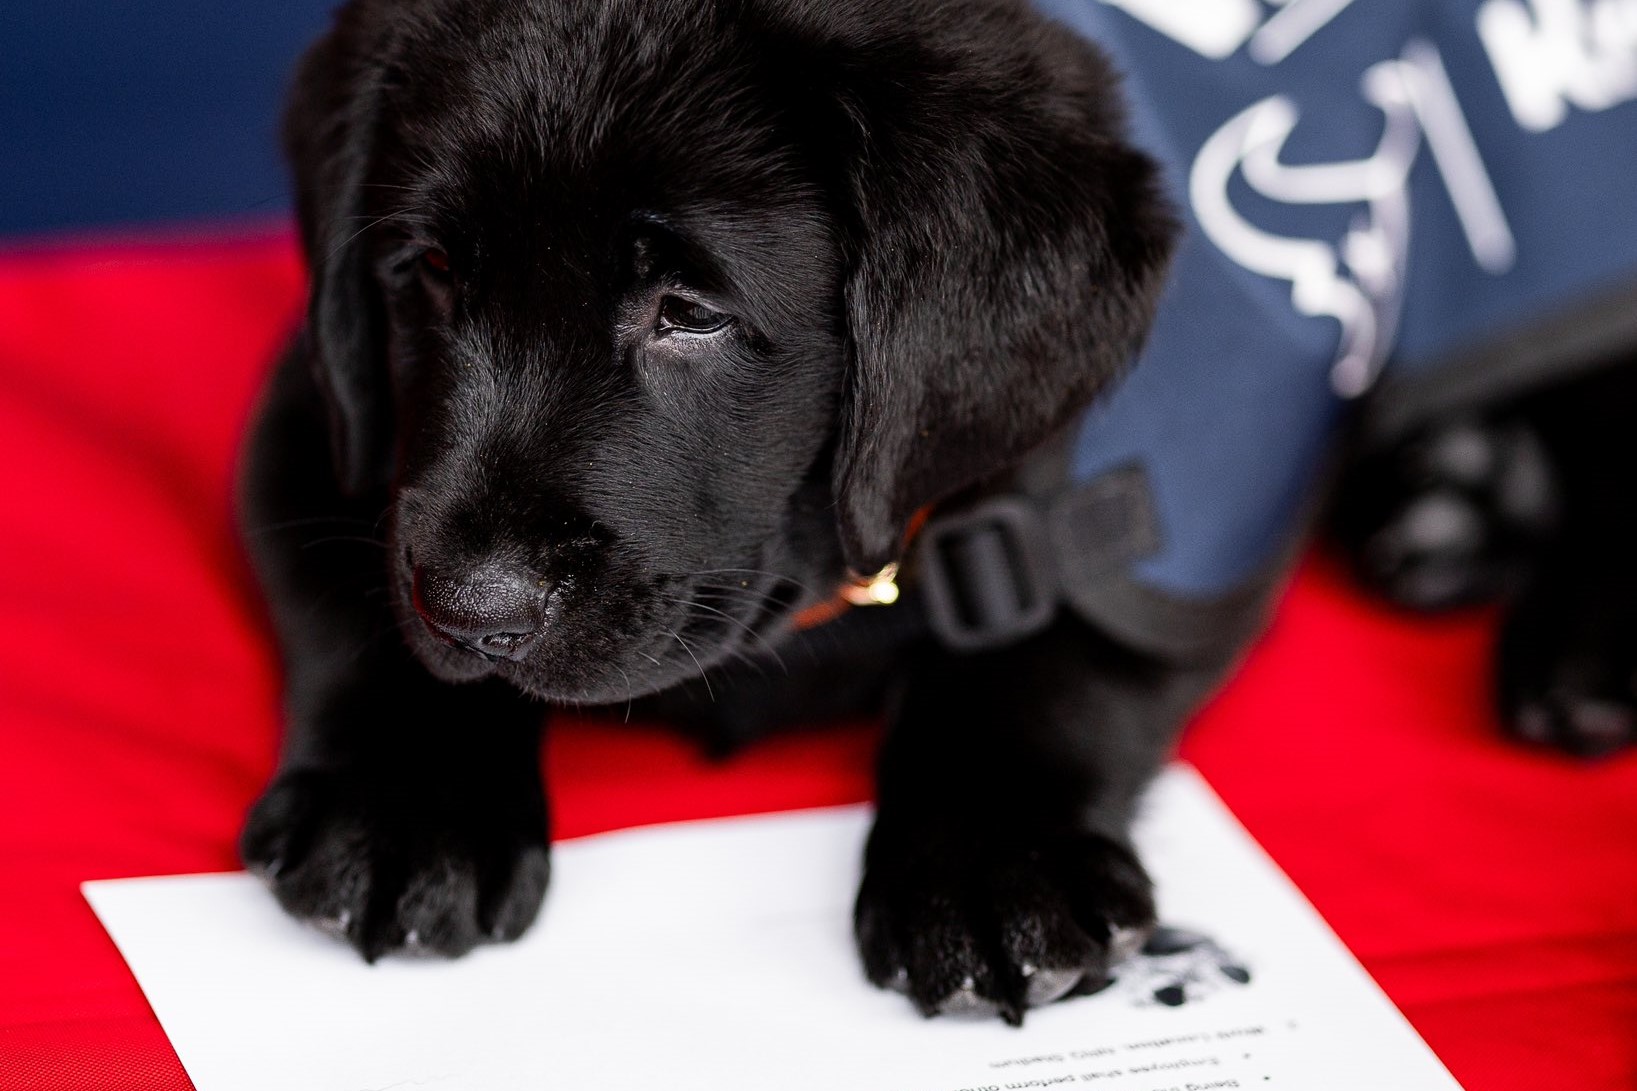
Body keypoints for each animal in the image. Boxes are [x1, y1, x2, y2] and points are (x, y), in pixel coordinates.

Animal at [237, 0, 1217, 1022]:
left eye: (691, 312)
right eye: (428, 266)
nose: (472, 612)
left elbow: (1057, 634)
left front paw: (993, 862)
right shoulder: (319, 405)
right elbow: (358, 581)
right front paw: (402, 806)